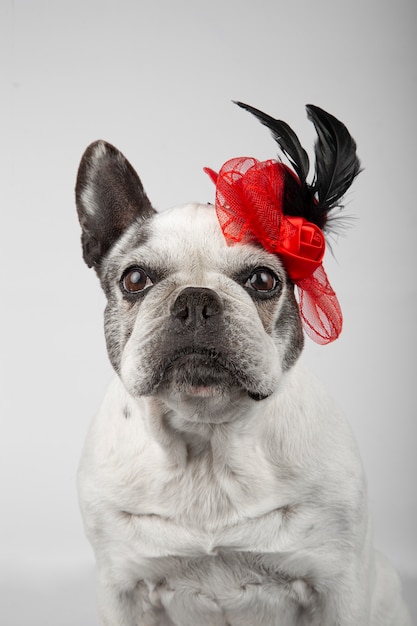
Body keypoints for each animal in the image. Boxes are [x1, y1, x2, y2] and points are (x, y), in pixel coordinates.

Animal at [75, 103, 410, 624]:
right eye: (134, 279)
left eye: (263, 280)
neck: (208, 443)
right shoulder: (122, 588)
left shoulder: (338, 585)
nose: (195, 300)